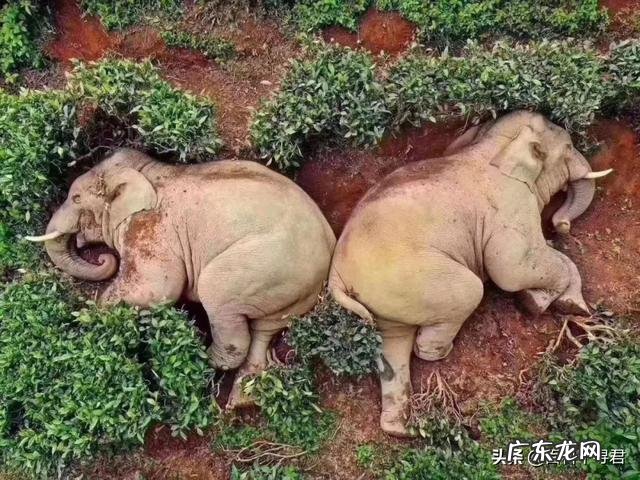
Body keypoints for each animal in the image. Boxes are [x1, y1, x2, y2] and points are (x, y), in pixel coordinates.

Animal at [26, 148, 336, 407]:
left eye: (76, 198)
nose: (104, 259)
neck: (148, 171)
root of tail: (329, 251)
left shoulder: (150, 228)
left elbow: (156, 289)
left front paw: (87, 316)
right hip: (290, 291)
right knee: (265, 329)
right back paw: (241, 400)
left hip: (265, 266)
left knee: (218, 296)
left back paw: (199, 360)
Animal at [328, 111, 613, 436]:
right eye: (567, 148)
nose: (560, 225)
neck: (491, 146)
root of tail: (336, 276)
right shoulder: (511, 205)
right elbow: (511, 269)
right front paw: (538, 303)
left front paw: (567, 304)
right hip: (412, 278)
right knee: (468, 292)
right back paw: (439, 354)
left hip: (383, 297)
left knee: (393, 342)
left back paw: (400, 428)